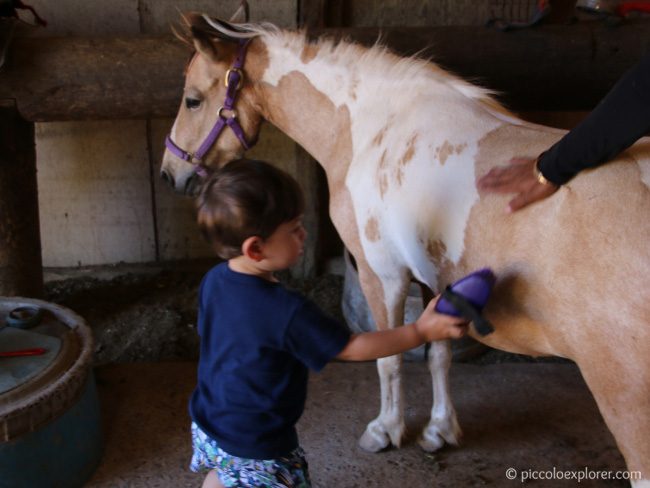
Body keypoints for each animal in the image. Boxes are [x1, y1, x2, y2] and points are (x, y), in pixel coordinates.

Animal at [158, 11, 648, 484]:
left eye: (192, 100)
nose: (169, 175)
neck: (372, 130)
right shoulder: (436, 279)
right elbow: (437, 355)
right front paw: (439, 430)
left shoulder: (384, 275)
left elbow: (389, 358)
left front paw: (386, 430)